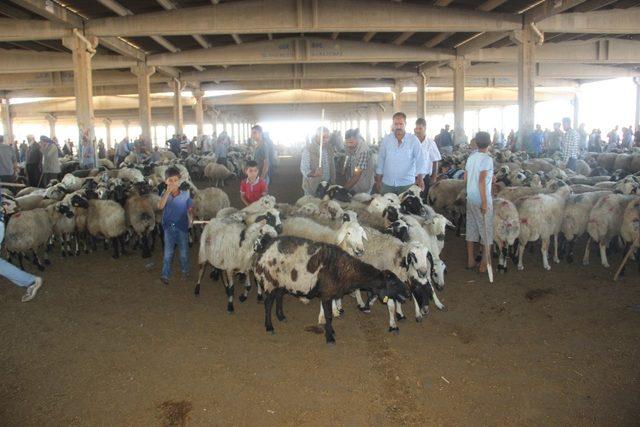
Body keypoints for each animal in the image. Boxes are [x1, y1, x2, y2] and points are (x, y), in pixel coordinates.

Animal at [252, 237, 408, 344]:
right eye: (393, 282)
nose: (406, 292)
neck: (345, 270)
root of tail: (263, 248)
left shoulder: (331, 293)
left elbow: (330, 314)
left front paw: (331, 330)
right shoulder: (327, 294)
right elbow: (328, 316)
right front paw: (330, 337)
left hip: (281, 281)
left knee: (279, 297)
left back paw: (281, 317)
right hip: (270, 280)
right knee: (268, 304)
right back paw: (269, 327)